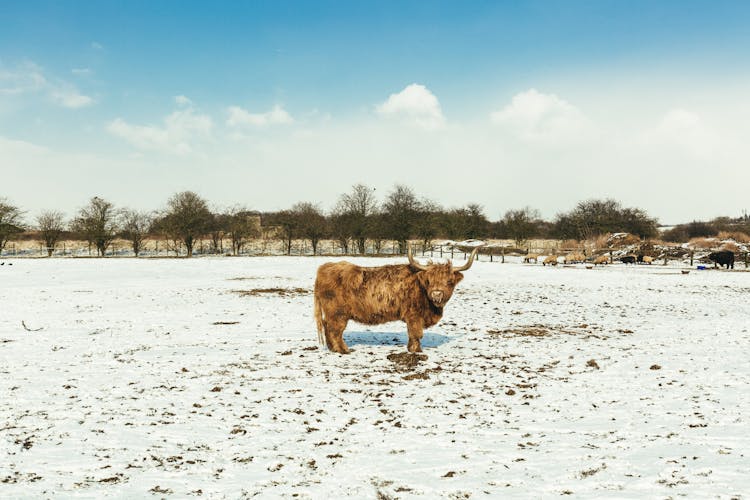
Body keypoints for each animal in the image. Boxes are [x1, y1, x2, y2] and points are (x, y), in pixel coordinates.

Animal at [312, 244, 482, 354]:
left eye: (449, 282)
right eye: (429, 281)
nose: (436, 294)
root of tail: (324, 268)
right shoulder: (414, 315)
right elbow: (416, 333)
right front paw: (416, 351)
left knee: (328, 327)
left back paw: (333, 349)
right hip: (338, 313)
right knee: (335, 330)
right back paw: (343, 350)